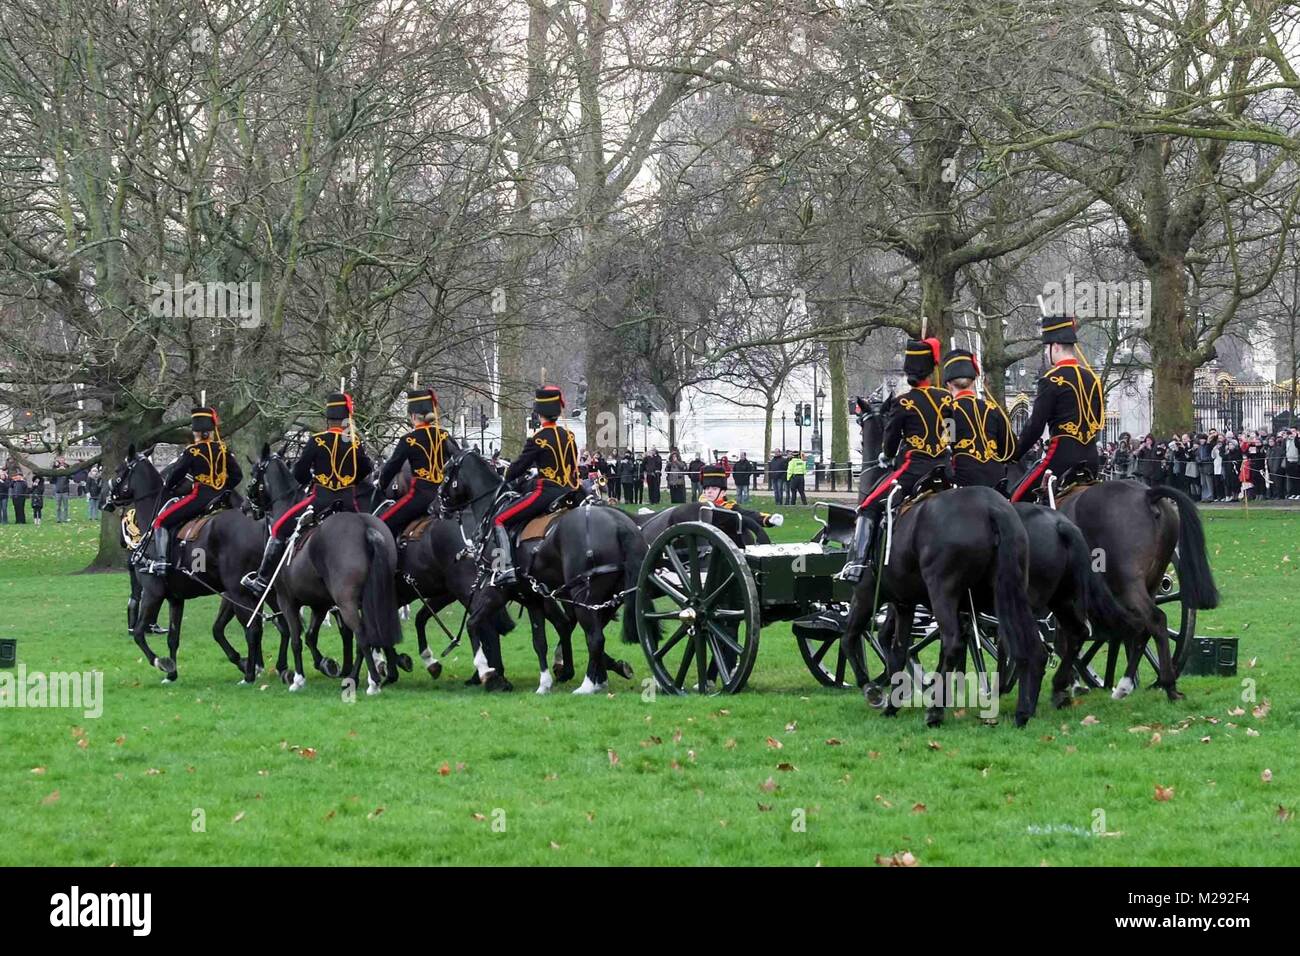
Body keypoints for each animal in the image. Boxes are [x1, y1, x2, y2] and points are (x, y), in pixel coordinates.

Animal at [103, 447, 279, 681]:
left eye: (118, 470)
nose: (106, 499)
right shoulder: (175, 599)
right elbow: (173, 637)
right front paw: (172, 674)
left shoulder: (153, 593)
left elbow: (140, 634)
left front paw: (162, 663)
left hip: (239, 591)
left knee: (254, 628)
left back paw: (251, 674)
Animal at [246, 447, 400, 697]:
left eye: (253, 473)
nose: (248, 505)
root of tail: (365, 527)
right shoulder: (319, 604)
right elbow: (310, 636)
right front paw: (327, 664)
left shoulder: (287, 600)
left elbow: (296, 639)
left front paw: (298, 679)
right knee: (366, 636)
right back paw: (359, 677)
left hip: (347, 601)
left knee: (362, 635)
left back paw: (373, 682)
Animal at [441, 452, 644, 691]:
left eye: (446, 472)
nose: (436, 506)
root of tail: (620, 523)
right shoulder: (532, 597)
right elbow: (539, 641)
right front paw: (544, 683)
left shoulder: (497, 591)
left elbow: (472, 624)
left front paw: (485, 670)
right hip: (606, 599)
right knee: (592, 633)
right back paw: (597, 678)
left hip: (583, 597)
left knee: (595, 637)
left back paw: (587, 685)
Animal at [842, 403, 1045, 723]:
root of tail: (993, 509)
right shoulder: (903, 601)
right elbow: (895, 645)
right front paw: (896, 696)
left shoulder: (866, 593)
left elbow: (852, 638)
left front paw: (874, 691)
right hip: (1007, 592)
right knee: (1025, 643)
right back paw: (1022, 707)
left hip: (942, 592)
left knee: (953, 642)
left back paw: (936, 710)